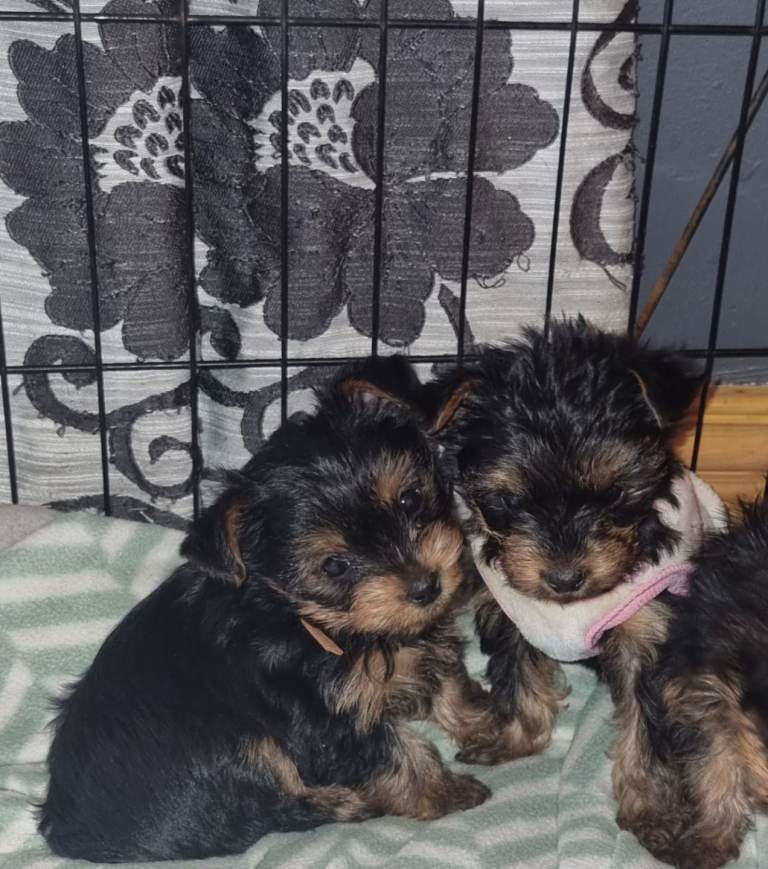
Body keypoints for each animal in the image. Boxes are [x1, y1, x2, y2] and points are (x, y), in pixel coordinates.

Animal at [39, 357, 514, 863]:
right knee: (264, 811)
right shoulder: (323, 722)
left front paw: (491, 722)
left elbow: (448, 683)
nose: (426, 586)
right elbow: (398, 758)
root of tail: (71, 829)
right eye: (334, 565)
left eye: (409, 499)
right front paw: (447, 792)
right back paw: (344, 803)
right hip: (240, 746)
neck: (315, 623)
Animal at [425, 318, 768, 867]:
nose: (565, 578)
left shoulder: (648, 632)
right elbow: (518, 675)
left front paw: (650, 811)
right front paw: (514, 738)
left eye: (615, 493)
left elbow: (645, 732)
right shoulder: (513, 611)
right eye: (507, 500)